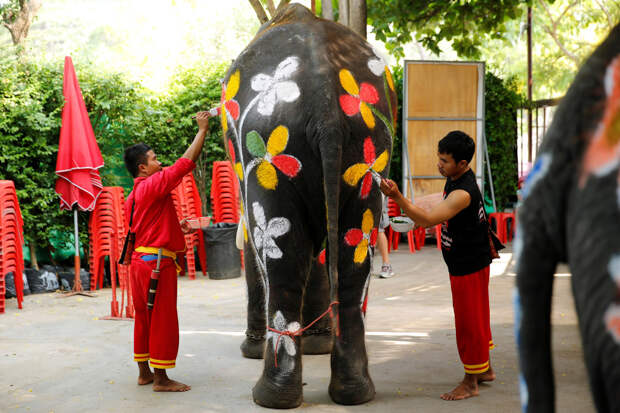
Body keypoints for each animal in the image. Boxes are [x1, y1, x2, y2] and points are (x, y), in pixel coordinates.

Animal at [218, 4, 398, 408]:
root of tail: (325, 100)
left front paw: (250, 352)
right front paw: (319, 345)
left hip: (272, 145)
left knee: (282, 257)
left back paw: (269, 397)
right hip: (369, 153)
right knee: (351, 253)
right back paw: (353, 393)